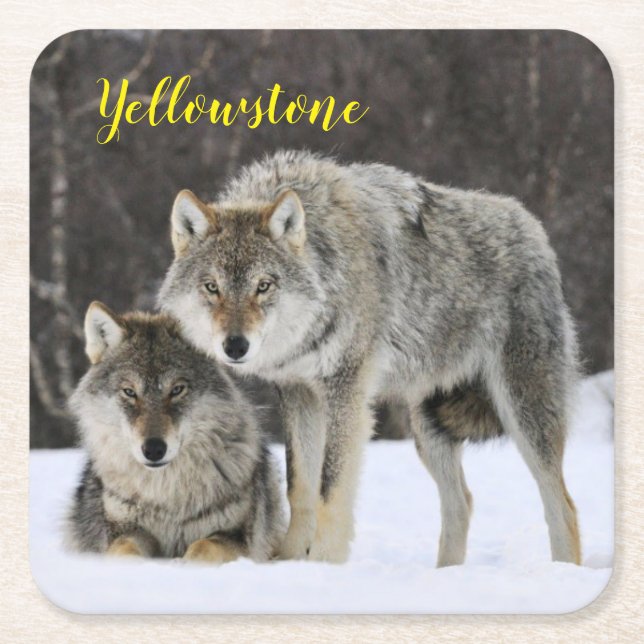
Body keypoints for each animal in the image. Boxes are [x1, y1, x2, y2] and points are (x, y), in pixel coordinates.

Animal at [66, 302, 285, 563]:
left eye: (177, 390)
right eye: (129, 392)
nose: (153, 449)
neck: (166, 494)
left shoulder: (237, 537)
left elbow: (203, 547)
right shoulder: (125, 530)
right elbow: (124, 550)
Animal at [158, 150, 581, 567]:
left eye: (263, 286)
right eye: (212, 287)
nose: (235, 346)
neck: (327, 270)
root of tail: (533, 228)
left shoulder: (346, 391)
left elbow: (330, 488)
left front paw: (323, 564)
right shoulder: (298, 393)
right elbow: (300, 486)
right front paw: (289, 561)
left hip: (523, 414)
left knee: (563, 505)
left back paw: (563, 569)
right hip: (428, 428)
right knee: (462, 502)